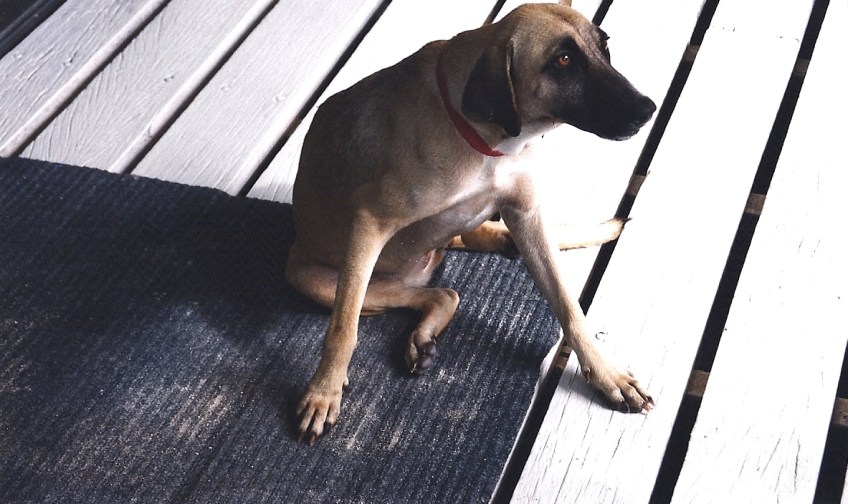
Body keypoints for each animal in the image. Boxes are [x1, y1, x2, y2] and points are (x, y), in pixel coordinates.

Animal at [287, 0, 656, 443]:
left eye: (604, 48)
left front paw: (606, 374)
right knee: (413, 296)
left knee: (448, 288)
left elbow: (569, 306)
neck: (491, 140)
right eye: (563, 61)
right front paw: (324, 392)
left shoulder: (528, 216)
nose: (648, 110)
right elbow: (343, 329)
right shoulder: (369, 222)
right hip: (314, 281)